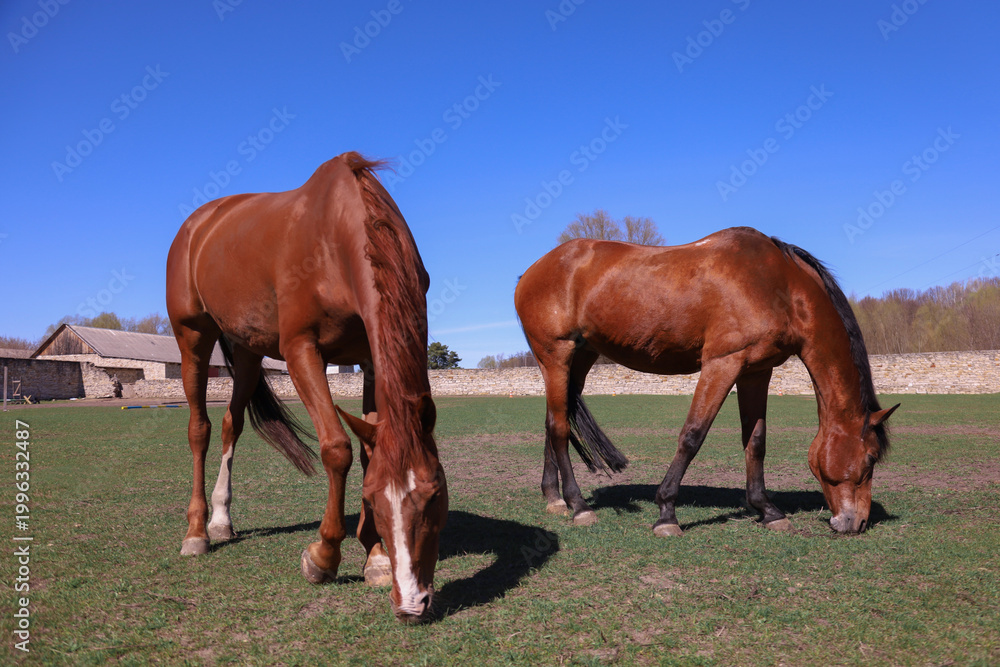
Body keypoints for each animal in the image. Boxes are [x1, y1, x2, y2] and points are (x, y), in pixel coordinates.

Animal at [166, 152, 447, 622]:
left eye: (434, 495)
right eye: (377, 501)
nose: (411, 603)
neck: (337, 235)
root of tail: (197, 223)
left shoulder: (371, 357)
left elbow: (368, 451)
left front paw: (374, 556)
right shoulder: (300, 348)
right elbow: (337, 448)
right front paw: (324, 556)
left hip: (247, 351)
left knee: (230, 425)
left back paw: (221, 520)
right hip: (193, 338)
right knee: (198, 429)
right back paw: (196, 532)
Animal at [514, 227, 898, 536]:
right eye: (870, 459)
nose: (857, 522)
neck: (779, 284)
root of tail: (530, 272)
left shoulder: (756, 371)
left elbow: (755, 441)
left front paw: (768, 510)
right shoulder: (722, 364)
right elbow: (692, 436)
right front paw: (666, 513)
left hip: (579, 359)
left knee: (555, 421)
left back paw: (554, 498)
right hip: (556, 355)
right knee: (559, 427)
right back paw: (578, 506)